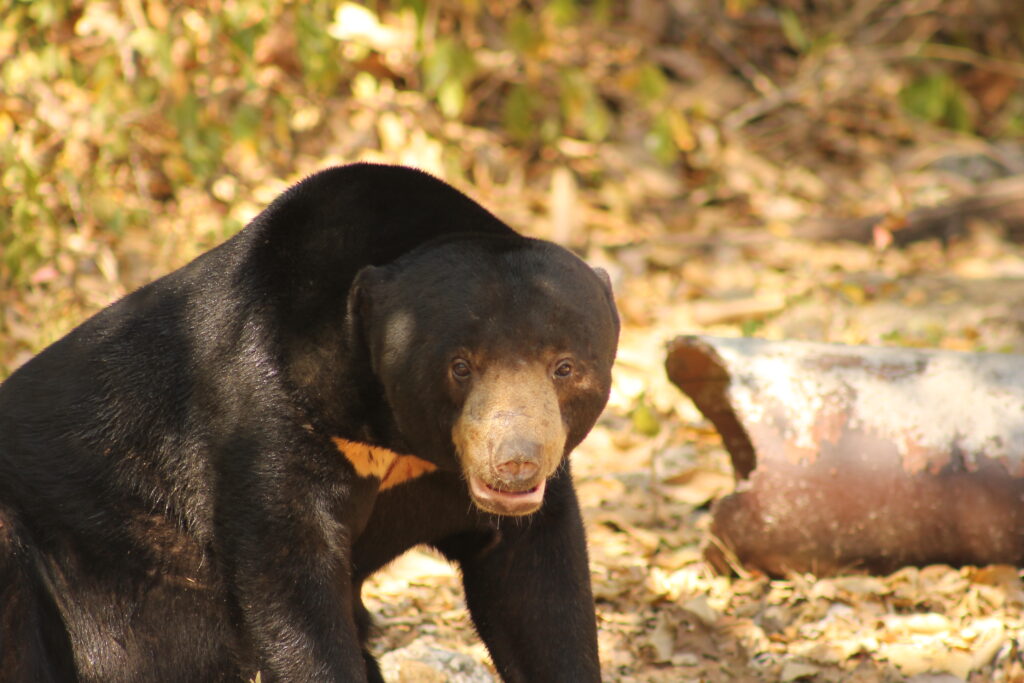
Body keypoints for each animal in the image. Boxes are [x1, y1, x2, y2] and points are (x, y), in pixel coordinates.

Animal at [0, 163, 619, 682]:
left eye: (564, 366)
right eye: (461, 366)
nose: (515, 462)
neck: (390, 433)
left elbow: (536, 583)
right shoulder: (266, 413)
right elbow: (291, 582)